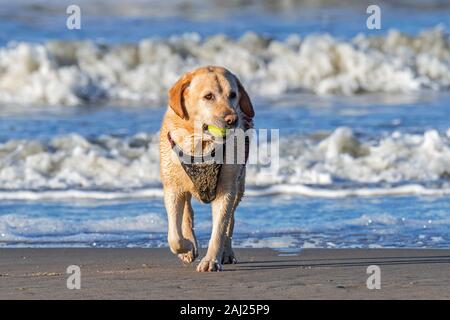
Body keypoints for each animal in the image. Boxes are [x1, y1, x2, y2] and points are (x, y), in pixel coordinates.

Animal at [160, 66, 255, 272]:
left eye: (233, 95)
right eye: (209, 96)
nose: (232, 119)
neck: (200, 144)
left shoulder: (226, 189)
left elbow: (219, 229)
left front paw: (211, 260)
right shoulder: (172, 187)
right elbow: (174, 236)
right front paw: (187, 246)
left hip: (239, 186)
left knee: (230, 222)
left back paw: (227, 252)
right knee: (187, 212)